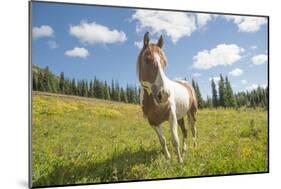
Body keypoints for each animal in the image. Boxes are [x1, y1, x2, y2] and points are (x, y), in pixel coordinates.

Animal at [136, 31, 197, 162]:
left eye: (164, 63)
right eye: (146, 60)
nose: (164, 94)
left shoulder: (171, 116)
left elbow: (175, 140)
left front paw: (180, 161)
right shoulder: (153, 123)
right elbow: (162, 140)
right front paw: (168, 158)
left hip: (192, 112)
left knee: (193, 129)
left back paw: (195, 146)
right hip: (181, 116)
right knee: (185, 131)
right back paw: (184, 149)